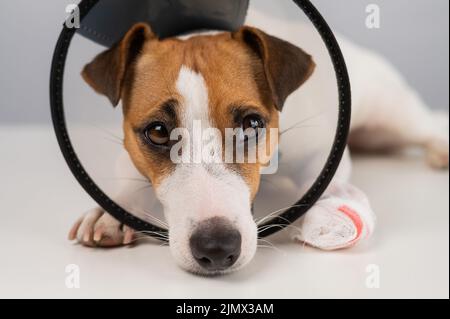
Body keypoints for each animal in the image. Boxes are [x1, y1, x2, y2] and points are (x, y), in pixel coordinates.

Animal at [68, 11, 448, 276]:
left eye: (252, 124)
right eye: (158, 131)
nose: (216, 247)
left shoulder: (319, 149)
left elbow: (330, 179)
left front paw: (333, 214)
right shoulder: (128, 151)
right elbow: (128, 180)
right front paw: (111, 213)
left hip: (392, 113)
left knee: (427, 123)